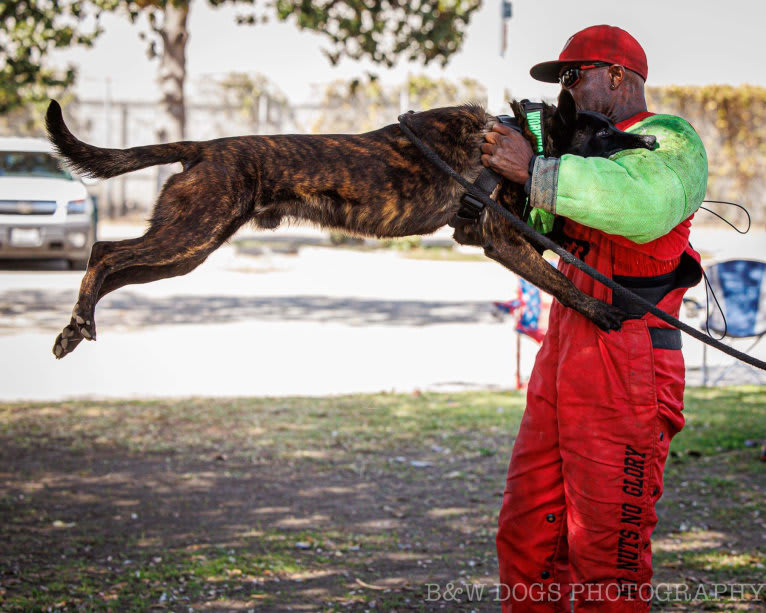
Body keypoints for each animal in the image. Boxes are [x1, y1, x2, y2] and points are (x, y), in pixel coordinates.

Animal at [49, 88, 656, 356]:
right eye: (604, 131)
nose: (649, 143)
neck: (523, 134)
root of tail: (204, 147)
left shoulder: (485, 233)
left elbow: (557, 239)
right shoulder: (501, 239)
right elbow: (559, 281)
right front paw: (604, 311)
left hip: (187, 249)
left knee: (114, 266)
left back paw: (73, 328)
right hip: (189, 234)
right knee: (103, 251)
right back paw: (79, 320)